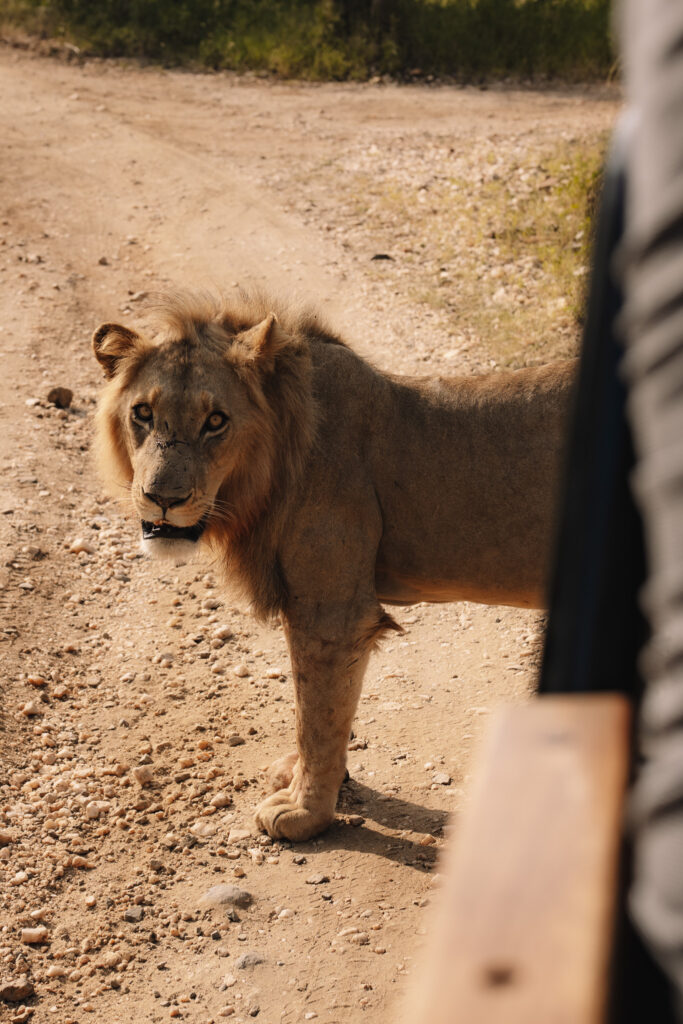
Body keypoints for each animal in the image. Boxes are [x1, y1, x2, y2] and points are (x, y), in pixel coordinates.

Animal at [90, 292, 573, 843]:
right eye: (143, 413)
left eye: (216, 421)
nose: (163, 499)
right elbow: (329, 706)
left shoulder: (331, 613)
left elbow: (316, 714)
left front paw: (304, 812)